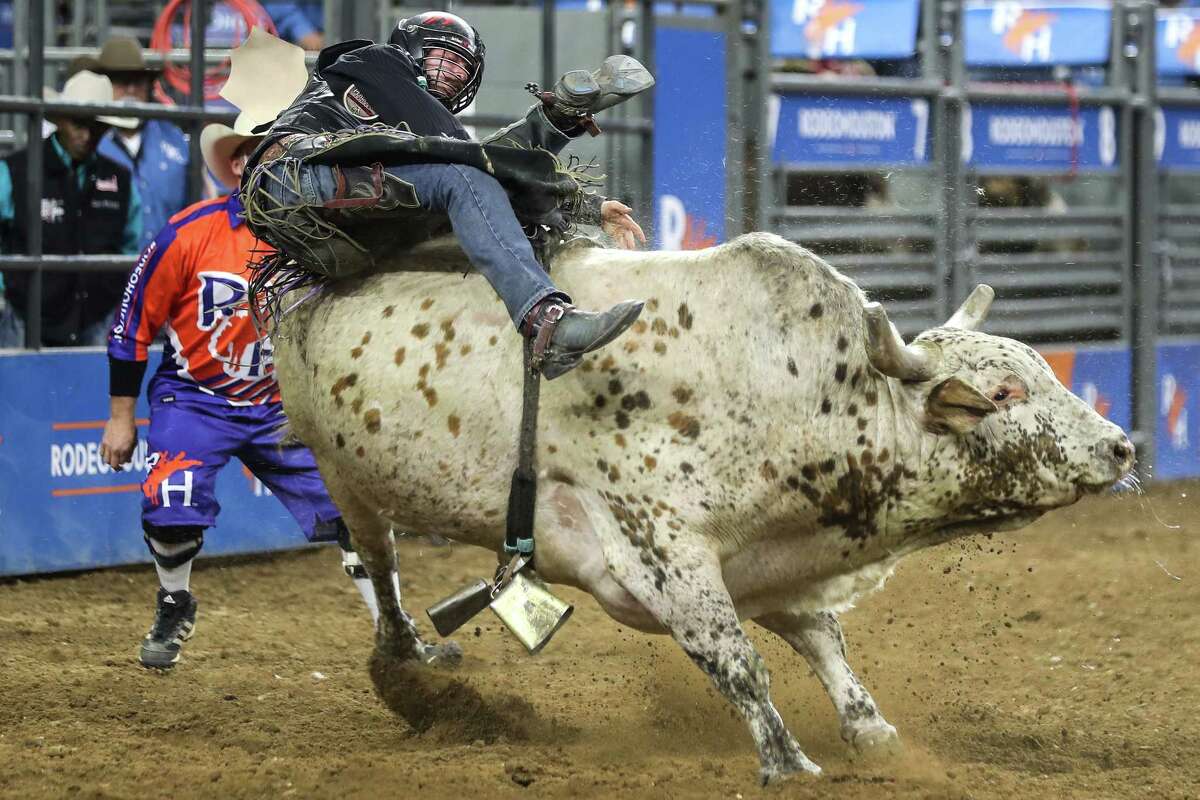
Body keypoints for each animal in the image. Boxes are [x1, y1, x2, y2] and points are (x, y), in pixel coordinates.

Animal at [270, 231, 1132, 782]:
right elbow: (738, 661)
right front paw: (789, 763)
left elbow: (823, 643)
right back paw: (412, 670)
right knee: (378, 568)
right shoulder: (662, 551)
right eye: (1004, 393)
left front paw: (874, 733)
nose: (1121, 448)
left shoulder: (770, 559)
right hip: (341, 473)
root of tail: (301, 293)